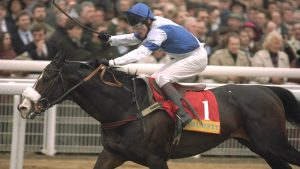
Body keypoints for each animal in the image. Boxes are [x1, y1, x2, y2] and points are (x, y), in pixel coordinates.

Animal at [18, 52, 300, 168]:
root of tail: (267, 90)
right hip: (262, 146)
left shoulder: (156, 158)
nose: (23, 106)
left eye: (48, 77)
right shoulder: (112, 153)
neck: (126, 108)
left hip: (273, 143)